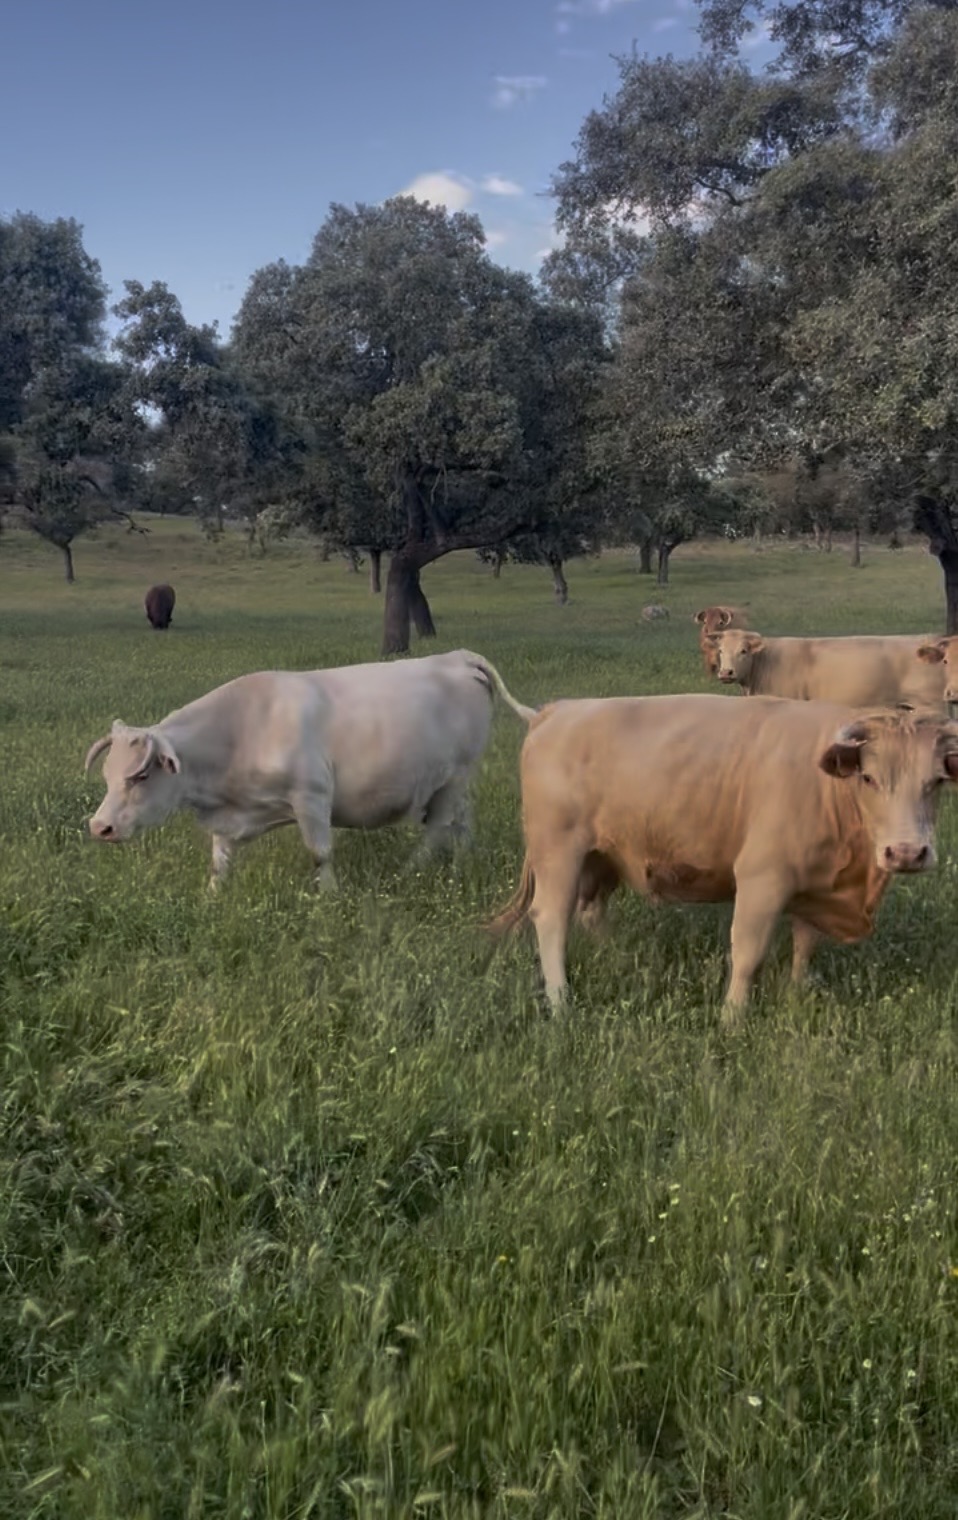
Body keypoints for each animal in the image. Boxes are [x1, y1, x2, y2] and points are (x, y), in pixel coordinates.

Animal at [84, 650, 534, 888]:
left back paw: (408, 872)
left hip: (453, 777)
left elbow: (320, 853)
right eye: (107, 776)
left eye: (140, 775)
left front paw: (330, 897)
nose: (99, 827)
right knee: (461, 822)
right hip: (454, 782)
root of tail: (456, 657)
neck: (244, 728)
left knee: (438, 828)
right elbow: (220, 860)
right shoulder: (229, 817)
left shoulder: (312, 796)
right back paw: (462, 865)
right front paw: (211, 897)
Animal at [488, 694, 958, 1024]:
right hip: (559, 852)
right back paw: (560, 1000)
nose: (907, 852)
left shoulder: (815, 880)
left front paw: (798, 989)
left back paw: (615, 959)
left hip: (601, 857)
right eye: (868, 777)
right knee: (551, 919)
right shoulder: (762, 878)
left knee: (591, 910)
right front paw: (733, 1018)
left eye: (935, 781)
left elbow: (805, 941)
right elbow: (748, 952)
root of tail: (555, 711)